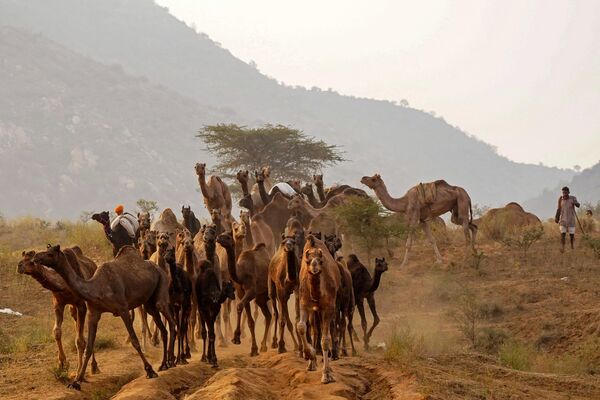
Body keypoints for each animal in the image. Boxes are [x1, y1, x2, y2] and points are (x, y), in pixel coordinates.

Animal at [32, 245, 175, 390]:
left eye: (50, 254)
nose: (36, 257)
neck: (97, 288)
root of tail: (159, 268)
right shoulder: (93, 313)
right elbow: (88, 348)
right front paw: (76, 382)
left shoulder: (123, 309)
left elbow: (135, 341)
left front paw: (149, 370)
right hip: (149, 302)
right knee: (163, 329)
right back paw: (164, 364)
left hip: (162, 284)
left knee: (170, 320)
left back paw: (173, 361)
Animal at [296, 234, 340, 384]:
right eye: (307, 261)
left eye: (321, 261)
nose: (314, 268)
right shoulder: (304, 304)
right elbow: (301, 327)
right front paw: (309, 355)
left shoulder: (329, 307)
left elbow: (325, 340)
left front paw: (326, 375)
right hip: (314, 311)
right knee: (314, 329)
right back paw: (312, 363)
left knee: (327, 330)